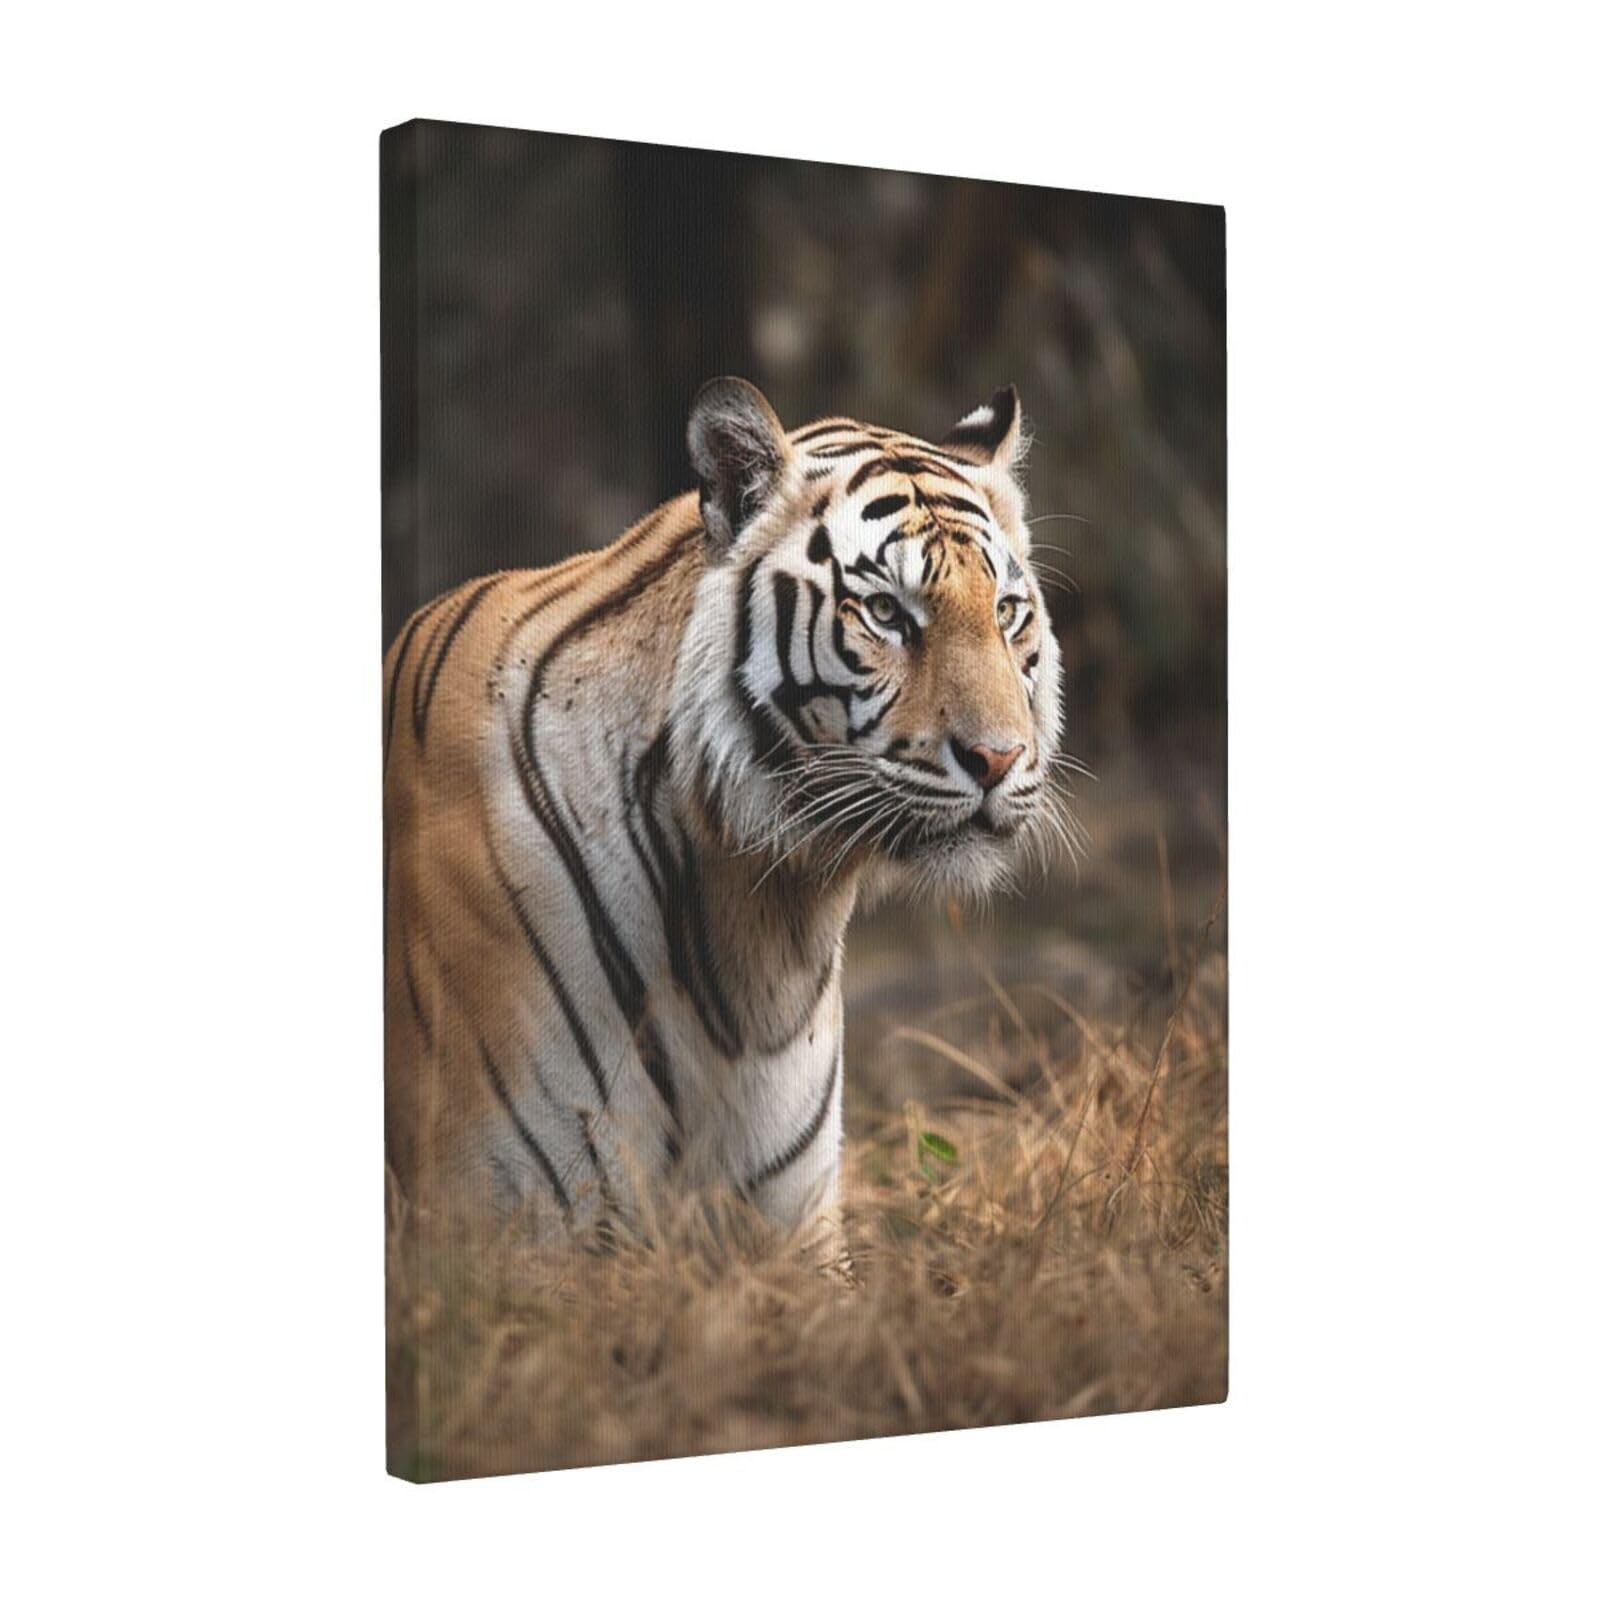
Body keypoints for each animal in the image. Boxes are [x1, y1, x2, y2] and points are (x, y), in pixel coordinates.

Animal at [383, 377, 1065, 1249]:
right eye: (885, 612)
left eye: (1007, 610)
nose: (1000, 759)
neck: (752, 909)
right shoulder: (502, 1224)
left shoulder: (795, 1225)